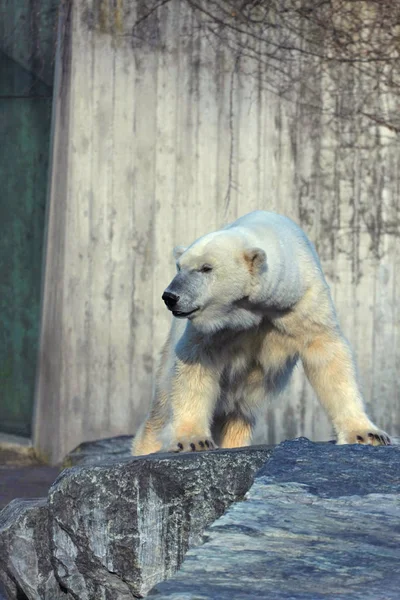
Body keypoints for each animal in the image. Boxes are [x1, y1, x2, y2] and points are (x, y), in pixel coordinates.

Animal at [132, 211, 390, 454]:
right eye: (179, 267)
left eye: (206, 268)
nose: (170, 296)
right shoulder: (213, 328)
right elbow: (196, 363)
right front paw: (193, 441)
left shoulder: (302, 302)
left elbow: (328, 356)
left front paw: (368, 434)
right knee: (162, 407)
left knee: (237, 415)